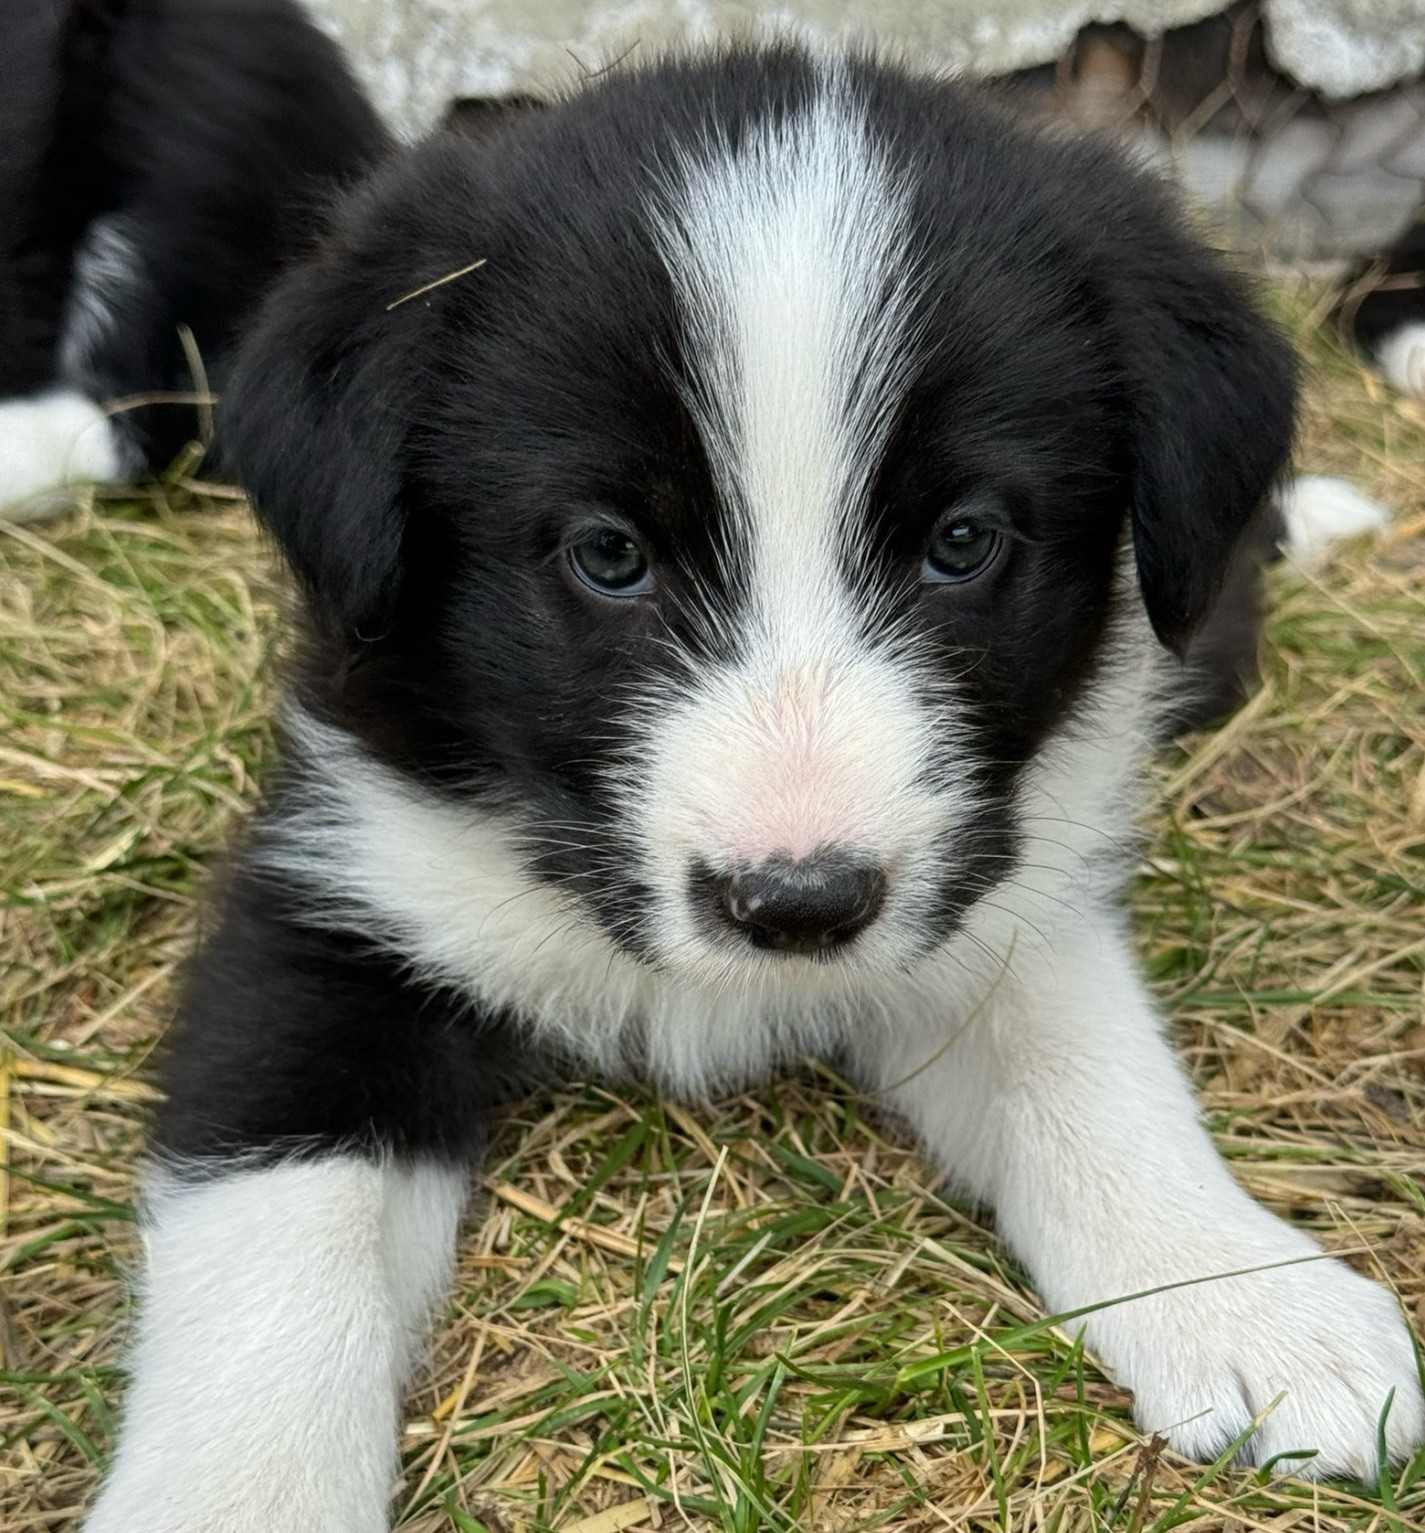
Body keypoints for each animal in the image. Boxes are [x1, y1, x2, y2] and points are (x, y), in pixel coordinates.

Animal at [80, 38, 1421, 1533]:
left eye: (965, 542)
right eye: (608, 554)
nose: (798, 906)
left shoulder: (996, 892)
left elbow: (1094, 1077)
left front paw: (1243, 1297)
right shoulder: (337, 888)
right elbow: (277, 1212)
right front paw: (235, 1492)